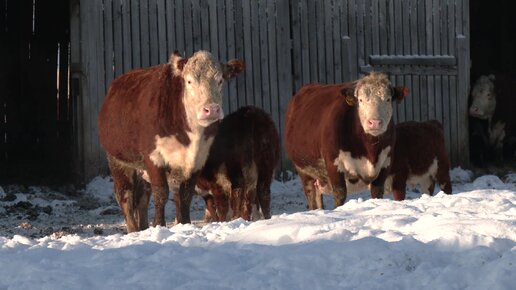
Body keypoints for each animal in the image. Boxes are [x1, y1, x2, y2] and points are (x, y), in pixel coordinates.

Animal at [98, 49, 244, 231]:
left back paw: (143, 227)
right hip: (117, 159)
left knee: (143, 196)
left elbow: (186, 194)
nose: (211, 110)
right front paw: (159, 225)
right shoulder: (153, 156)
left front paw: (185, 223)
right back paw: (133, 229)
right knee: (125, 194)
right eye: (189, 81)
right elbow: (161, 193)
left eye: (220, 80)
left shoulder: (198, 160)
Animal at [284, 72, 410, 208]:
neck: (369, 147)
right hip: (304, 172)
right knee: (312, 198)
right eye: (360, 100)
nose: (375, 122)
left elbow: (377, 192)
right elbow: (340, 194)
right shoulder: (333, 164)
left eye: (388, 99)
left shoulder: (385, 164)